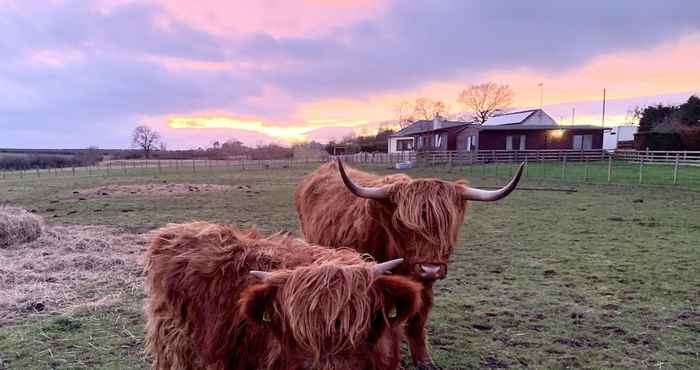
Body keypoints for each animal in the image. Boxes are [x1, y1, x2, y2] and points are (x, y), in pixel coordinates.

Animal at [292, 160, 524, 368]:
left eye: (448, 224)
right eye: (403, 225)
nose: (431, 268)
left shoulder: (424, 286)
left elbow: (417, 321)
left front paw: (424, 361)